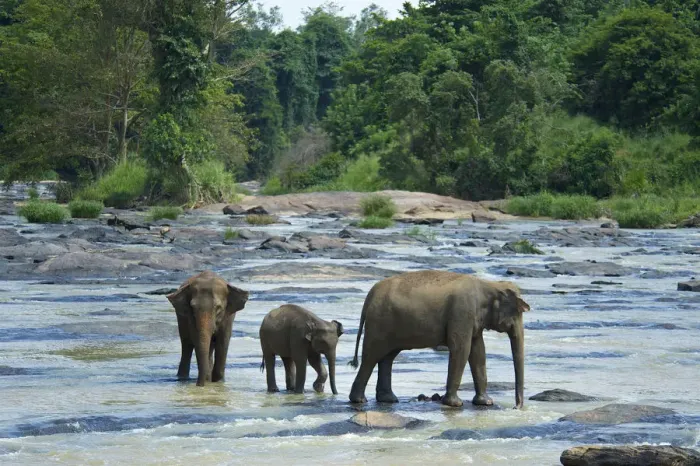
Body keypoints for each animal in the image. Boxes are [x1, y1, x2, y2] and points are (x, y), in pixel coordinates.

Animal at [348, 270, 530, 408]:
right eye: (518, 313)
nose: (516, 407)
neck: (489, 285)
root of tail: (370, 295)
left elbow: (478, 352)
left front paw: (486, 403)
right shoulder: (462, 313)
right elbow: (461, 349)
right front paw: (455, 404)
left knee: (388, 357)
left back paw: (388, 399)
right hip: (379, 323)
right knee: (371, 357)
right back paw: (359, 400)